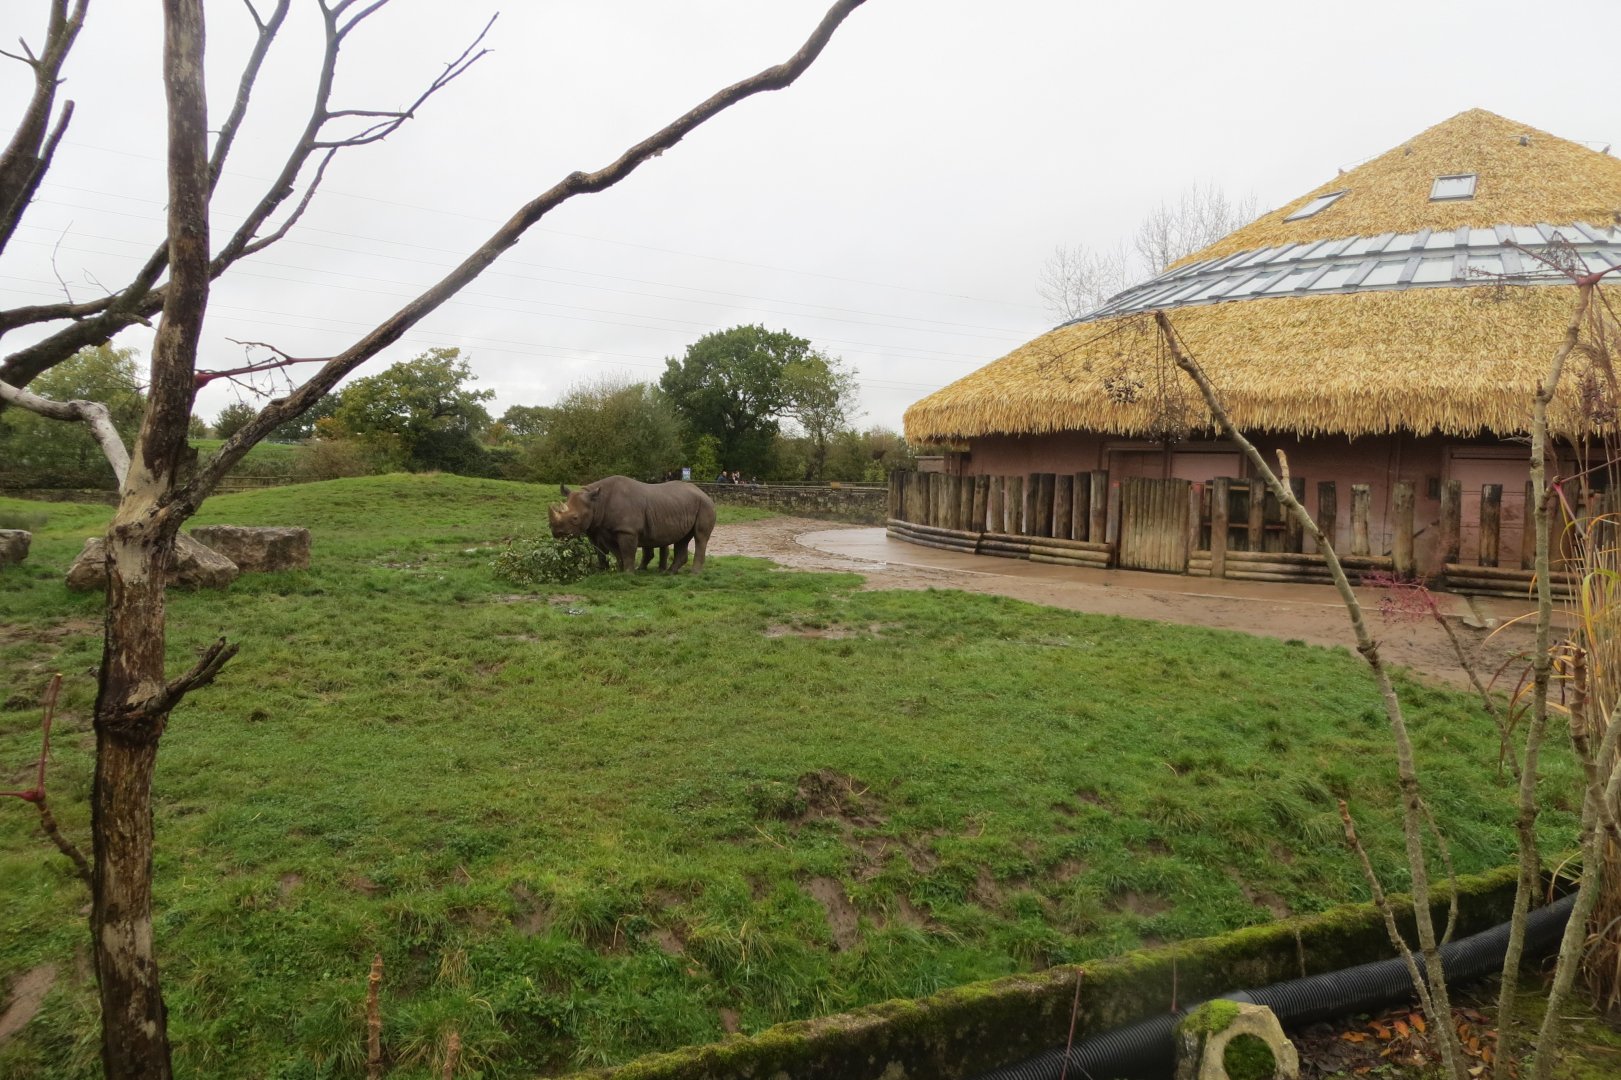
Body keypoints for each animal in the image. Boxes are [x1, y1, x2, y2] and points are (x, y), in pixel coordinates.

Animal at [548, 476, 715, 573]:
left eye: (575, 518)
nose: (557, 532)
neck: (596, 503)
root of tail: (704, 493)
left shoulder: (627, 530)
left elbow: (627, 551)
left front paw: (628, 573)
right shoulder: (603, 529)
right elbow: (612, 552)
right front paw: (615, 571)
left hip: (705, 505)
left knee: (700, 536)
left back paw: (694, 573)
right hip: (683, 505)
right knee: (683, 539)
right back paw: (669, 573)